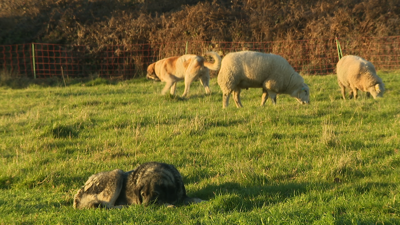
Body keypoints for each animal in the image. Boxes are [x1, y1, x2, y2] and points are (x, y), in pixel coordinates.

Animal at [72, 161, 203, 208]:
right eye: (143, 194)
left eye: (156, 194)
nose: (145, 207)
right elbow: (163, 203)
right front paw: (169, 205)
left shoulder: (182, 196)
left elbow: (195, 199)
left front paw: (202, 201)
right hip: (117, 173)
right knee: (108, 206)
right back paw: (123, 207)